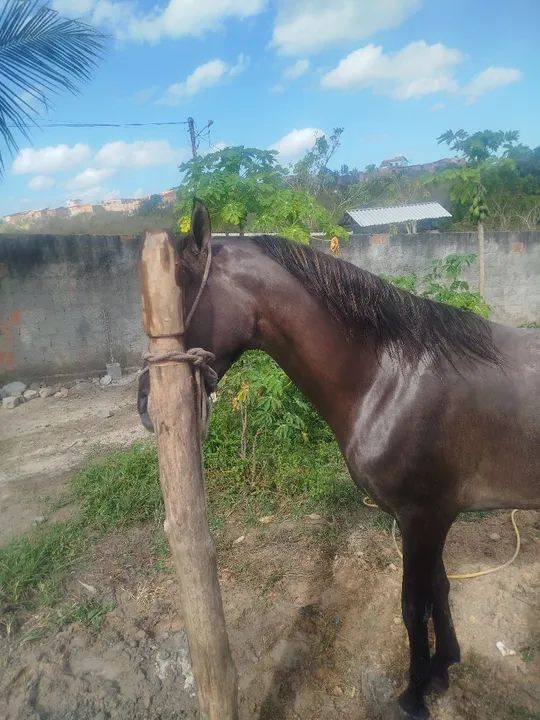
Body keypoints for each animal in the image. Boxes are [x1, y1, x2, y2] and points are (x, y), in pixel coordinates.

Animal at [138, 200, 540, 719]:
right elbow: (440, 590)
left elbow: (414, 605)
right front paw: (443, 668)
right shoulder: (434, 518)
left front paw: (413, 694)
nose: (146, 405)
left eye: (180, 296)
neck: (390, 379)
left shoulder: (422, 517)